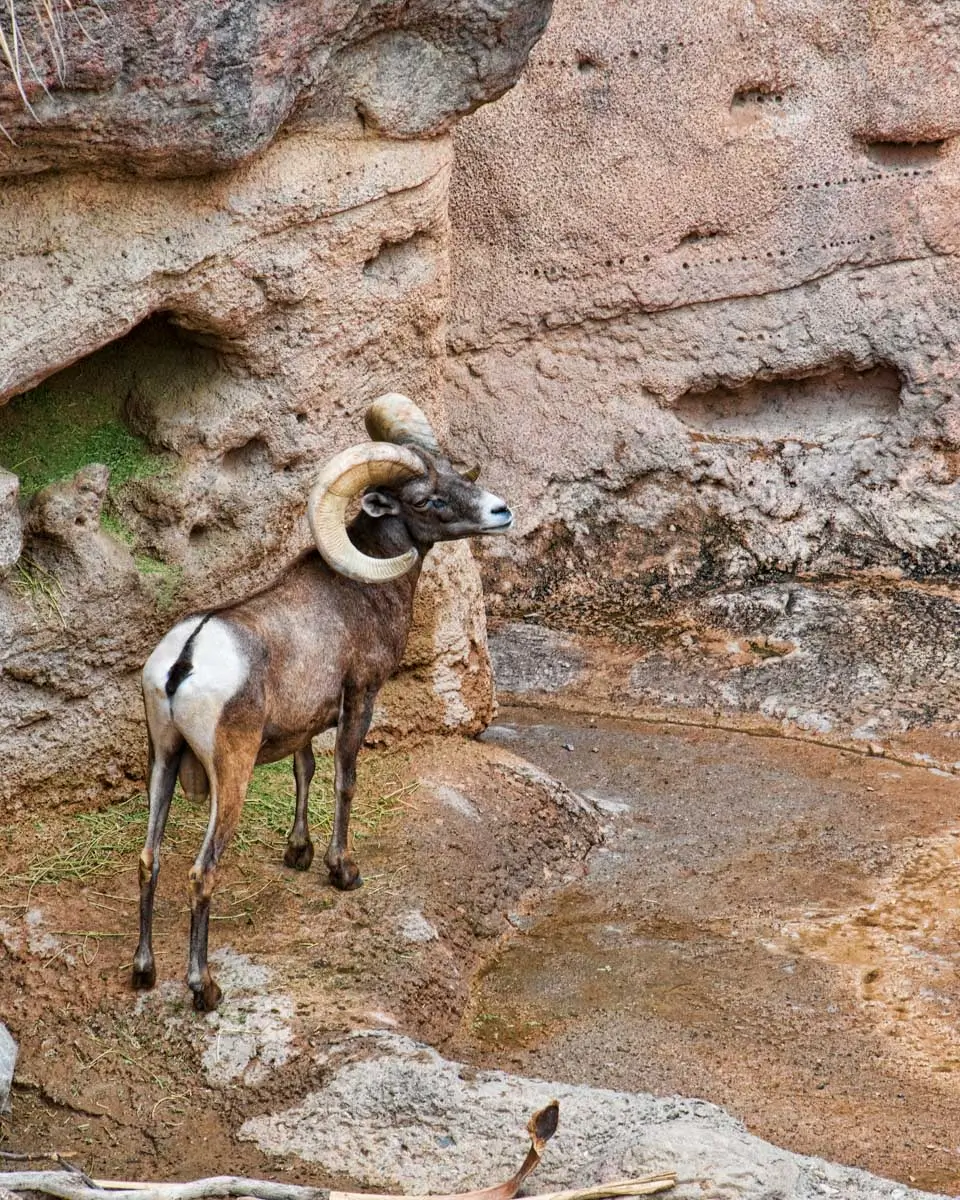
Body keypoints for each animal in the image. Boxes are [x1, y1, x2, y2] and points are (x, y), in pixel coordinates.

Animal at [131, 394, 513, 1012]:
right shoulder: (360, 697)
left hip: (161, 761)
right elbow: (344, 778)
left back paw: (143, 972)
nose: (501, 512)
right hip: (230, 775)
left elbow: (304, 771)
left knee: (149, 858)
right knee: (201, 872)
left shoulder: (304, 724)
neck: (360, 594)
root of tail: (183, 662)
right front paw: (341, 870)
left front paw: (299, 853)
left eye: (457, 475)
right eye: (427, 499)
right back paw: (204, 988)